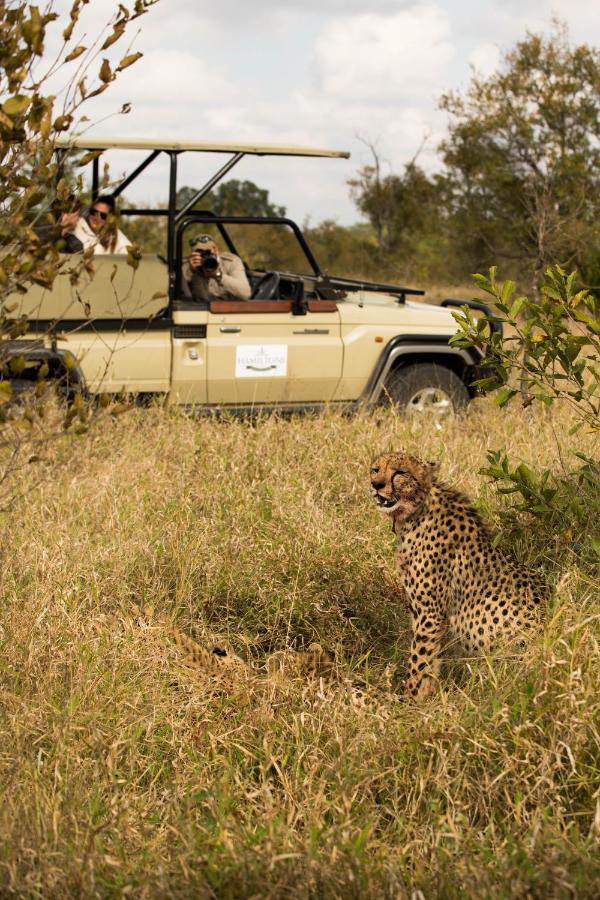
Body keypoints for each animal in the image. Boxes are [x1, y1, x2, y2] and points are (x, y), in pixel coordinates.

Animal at [368, 454, 548, 700]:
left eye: (400, 472)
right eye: (375, 469)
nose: (376, 484)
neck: (416, 510)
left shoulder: (430, 611)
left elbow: (420, 655)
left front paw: (411, 696)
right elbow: (430, 655)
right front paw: (424, 692)